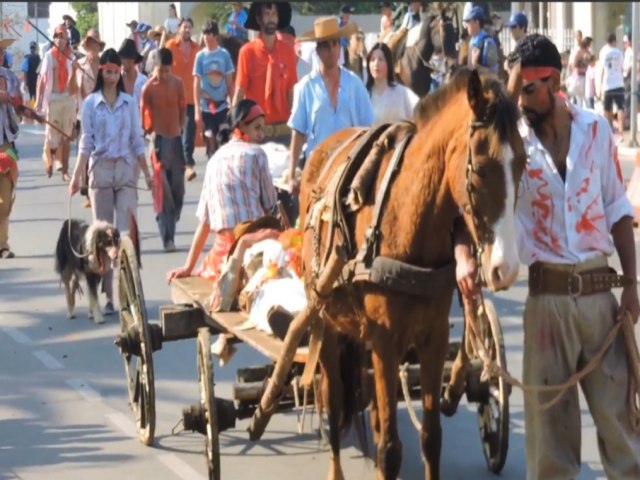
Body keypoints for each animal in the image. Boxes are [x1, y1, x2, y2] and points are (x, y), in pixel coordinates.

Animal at [298, 68, 524, 480]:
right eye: (481, 169)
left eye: (524, 164)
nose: (506, 267)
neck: (407, 218)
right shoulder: (385, 341)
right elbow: (390, 449)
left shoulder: (432, 337)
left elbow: (431, 437)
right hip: (327, 323)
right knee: (335, 404)